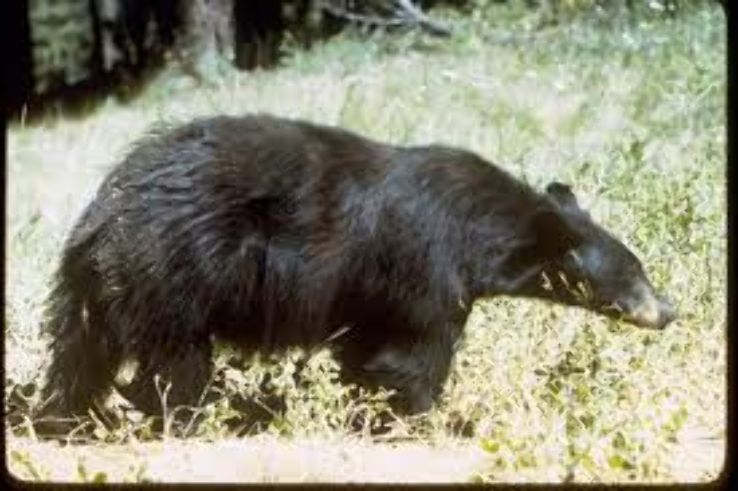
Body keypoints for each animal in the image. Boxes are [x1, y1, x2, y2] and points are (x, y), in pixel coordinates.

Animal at [37, 114, 675, 432]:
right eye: (633, 271)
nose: (669, 311)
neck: (480, 230)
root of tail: (102, 211)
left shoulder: (372, 295)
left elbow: (366, 352)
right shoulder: (425, 264)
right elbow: (415, 354)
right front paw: (434, 420)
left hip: (108, 289)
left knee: (80, 353)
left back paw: (66, 416)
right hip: (174, 272)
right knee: (176, 362)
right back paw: (180, 415)